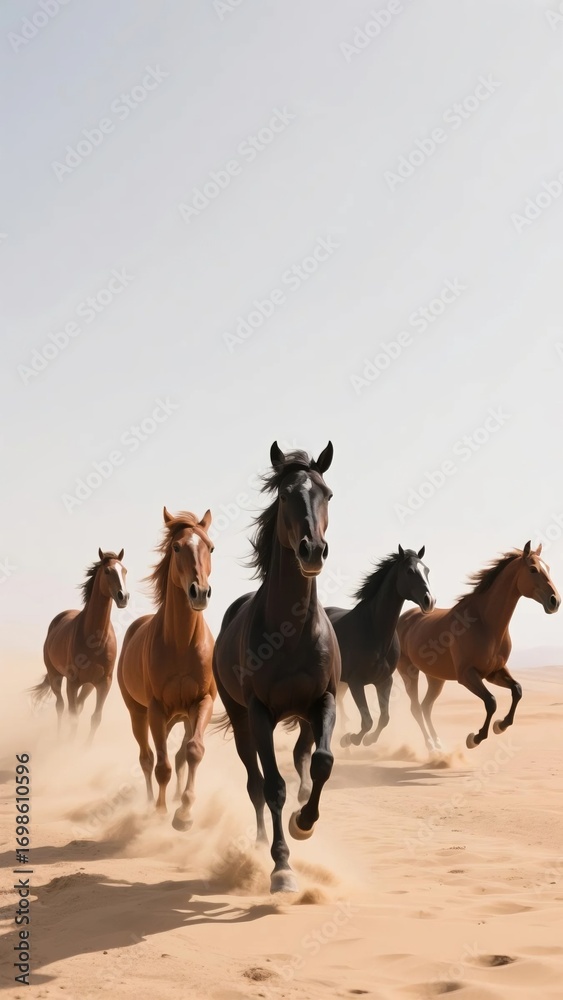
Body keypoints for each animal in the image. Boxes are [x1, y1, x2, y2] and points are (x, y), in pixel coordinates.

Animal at [31, 549, 129, 742]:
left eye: (125, 571)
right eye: (107, 571)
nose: (123, 597)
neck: (95, 640)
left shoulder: (103, 683)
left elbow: (95, 718)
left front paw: (84, 747)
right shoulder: (72, 682)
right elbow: (73, 716)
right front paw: (68, 744)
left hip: (88, 685)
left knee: (78, 705)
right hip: (55, 676)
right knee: (60, 706)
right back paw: (59, 736)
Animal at [117, 508, 215, 831]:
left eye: (210, 547)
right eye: (176, 547)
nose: (200, 593)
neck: (182, 643)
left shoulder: (202, 703)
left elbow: (193, 752)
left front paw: (184, 812)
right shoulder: (157, 709)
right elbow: (161, 766)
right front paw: (161, 812)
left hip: (181, 717)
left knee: (180, 755)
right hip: (139, 713)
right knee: (147, 758)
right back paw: (152, 803)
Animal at [212, 442, 341, 894]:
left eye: (327, 493)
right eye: (285, 495)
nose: (312, 550)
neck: (291, 631)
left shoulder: (324, 701)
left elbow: (322, 762)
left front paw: (305, 822)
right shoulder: (260, 713)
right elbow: (272, 788)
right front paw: (281, 868)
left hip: (301, 716)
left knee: (304, 757)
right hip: (240, 720)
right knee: (254, 783)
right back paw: (258, 845)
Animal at [327, 546, 435, 749]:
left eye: (427, 570)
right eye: (409, 571)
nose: (429, 601)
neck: (374, 630)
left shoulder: (384, 681)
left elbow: (384, 718)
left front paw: (368, 740)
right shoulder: (356, 682)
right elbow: (367, 721)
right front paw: (350, 739)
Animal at [396, 542, 560, 751]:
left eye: (548, 568)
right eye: (533, 569)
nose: (555, 601)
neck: (484, 623)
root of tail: (403, 619)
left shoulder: (493, 672)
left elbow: (517, 690)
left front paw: (501, 725)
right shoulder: (467, 675)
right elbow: (491, 702)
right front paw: (475, 738)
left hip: (435, 677)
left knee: (426, 706)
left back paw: (438, 743)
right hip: (409, 672)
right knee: (416, 707)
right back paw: (431, 745)